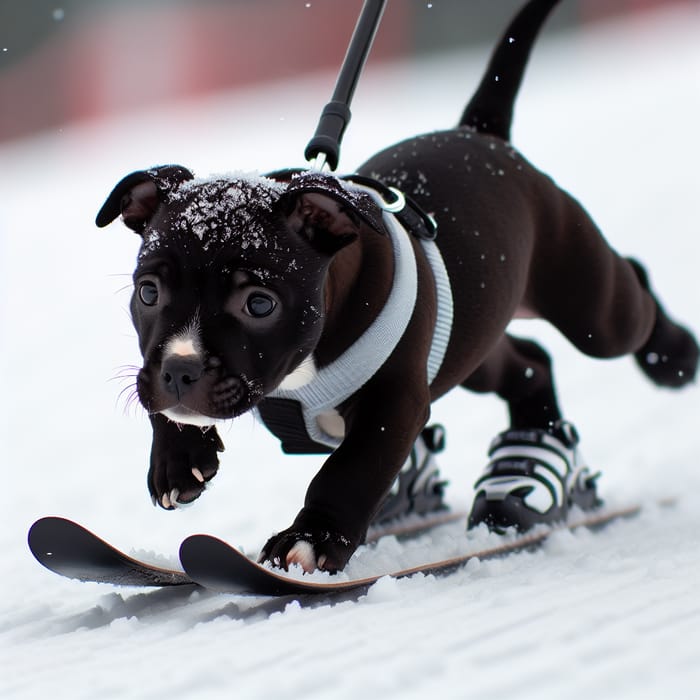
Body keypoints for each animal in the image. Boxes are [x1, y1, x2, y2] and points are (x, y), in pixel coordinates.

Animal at [97, 0, 696, 572]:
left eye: (259, 303)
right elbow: (159, 391)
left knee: (628, 297)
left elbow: (349, 470)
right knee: (528, 360)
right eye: (148, 293)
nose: (181, 371)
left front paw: (310, 541)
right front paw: (178, 458)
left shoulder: (395, 404)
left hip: (588, 304)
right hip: (470, 340)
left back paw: (673, 357)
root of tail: (482, 134)